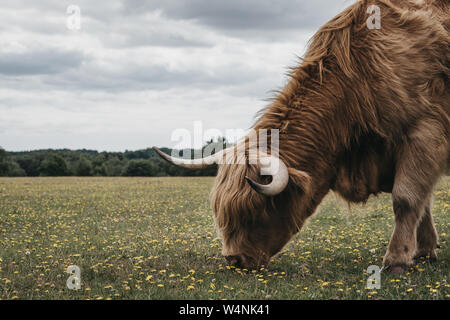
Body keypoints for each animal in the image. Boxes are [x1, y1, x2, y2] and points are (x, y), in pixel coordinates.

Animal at [153, 0, 448, 276]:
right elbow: (423, 202)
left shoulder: (425, 131)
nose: (235, 260)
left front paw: (397, 259)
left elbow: (406, 198)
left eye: (256, 210)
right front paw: (424, 250)